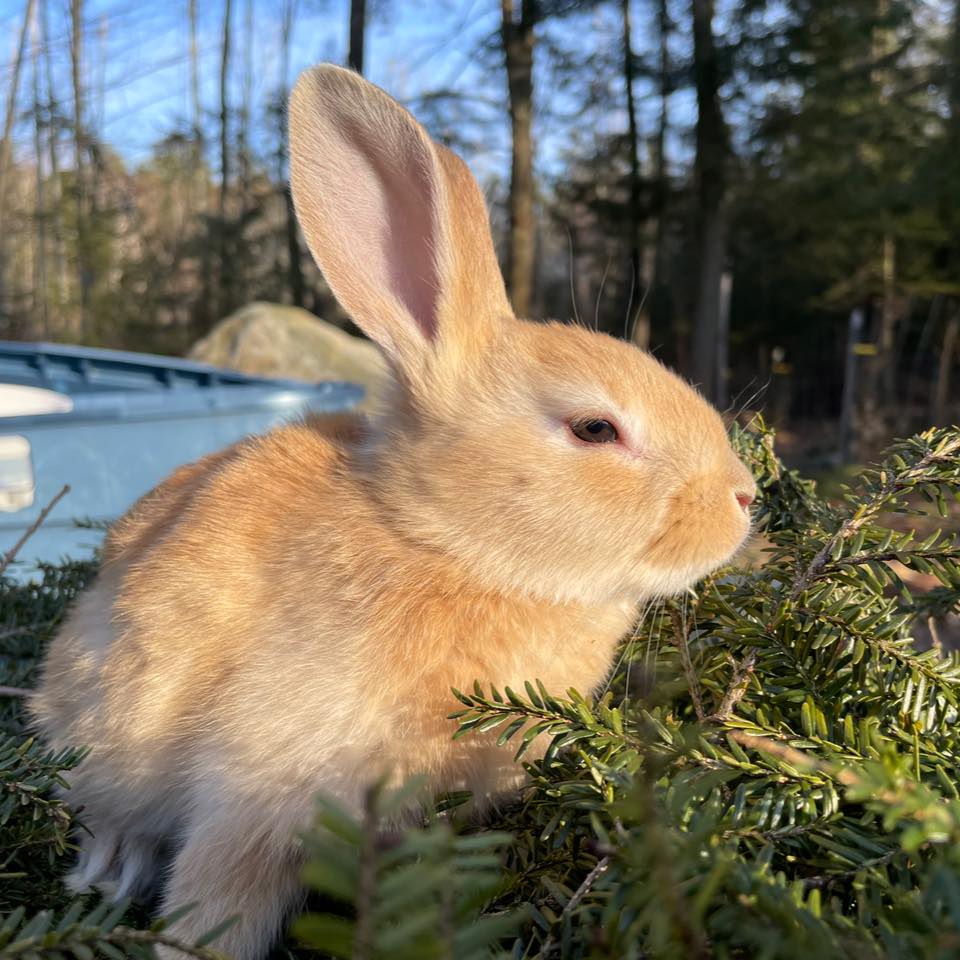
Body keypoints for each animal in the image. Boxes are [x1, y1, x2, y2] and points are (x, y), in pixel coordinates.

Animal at [30, 64, 757, 960]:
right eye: (595, 429)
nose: (744, 498)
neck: (442, 543)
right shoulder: (260, 788)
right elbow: (219, 903)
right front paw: (186, 946)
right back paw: (112, 867)